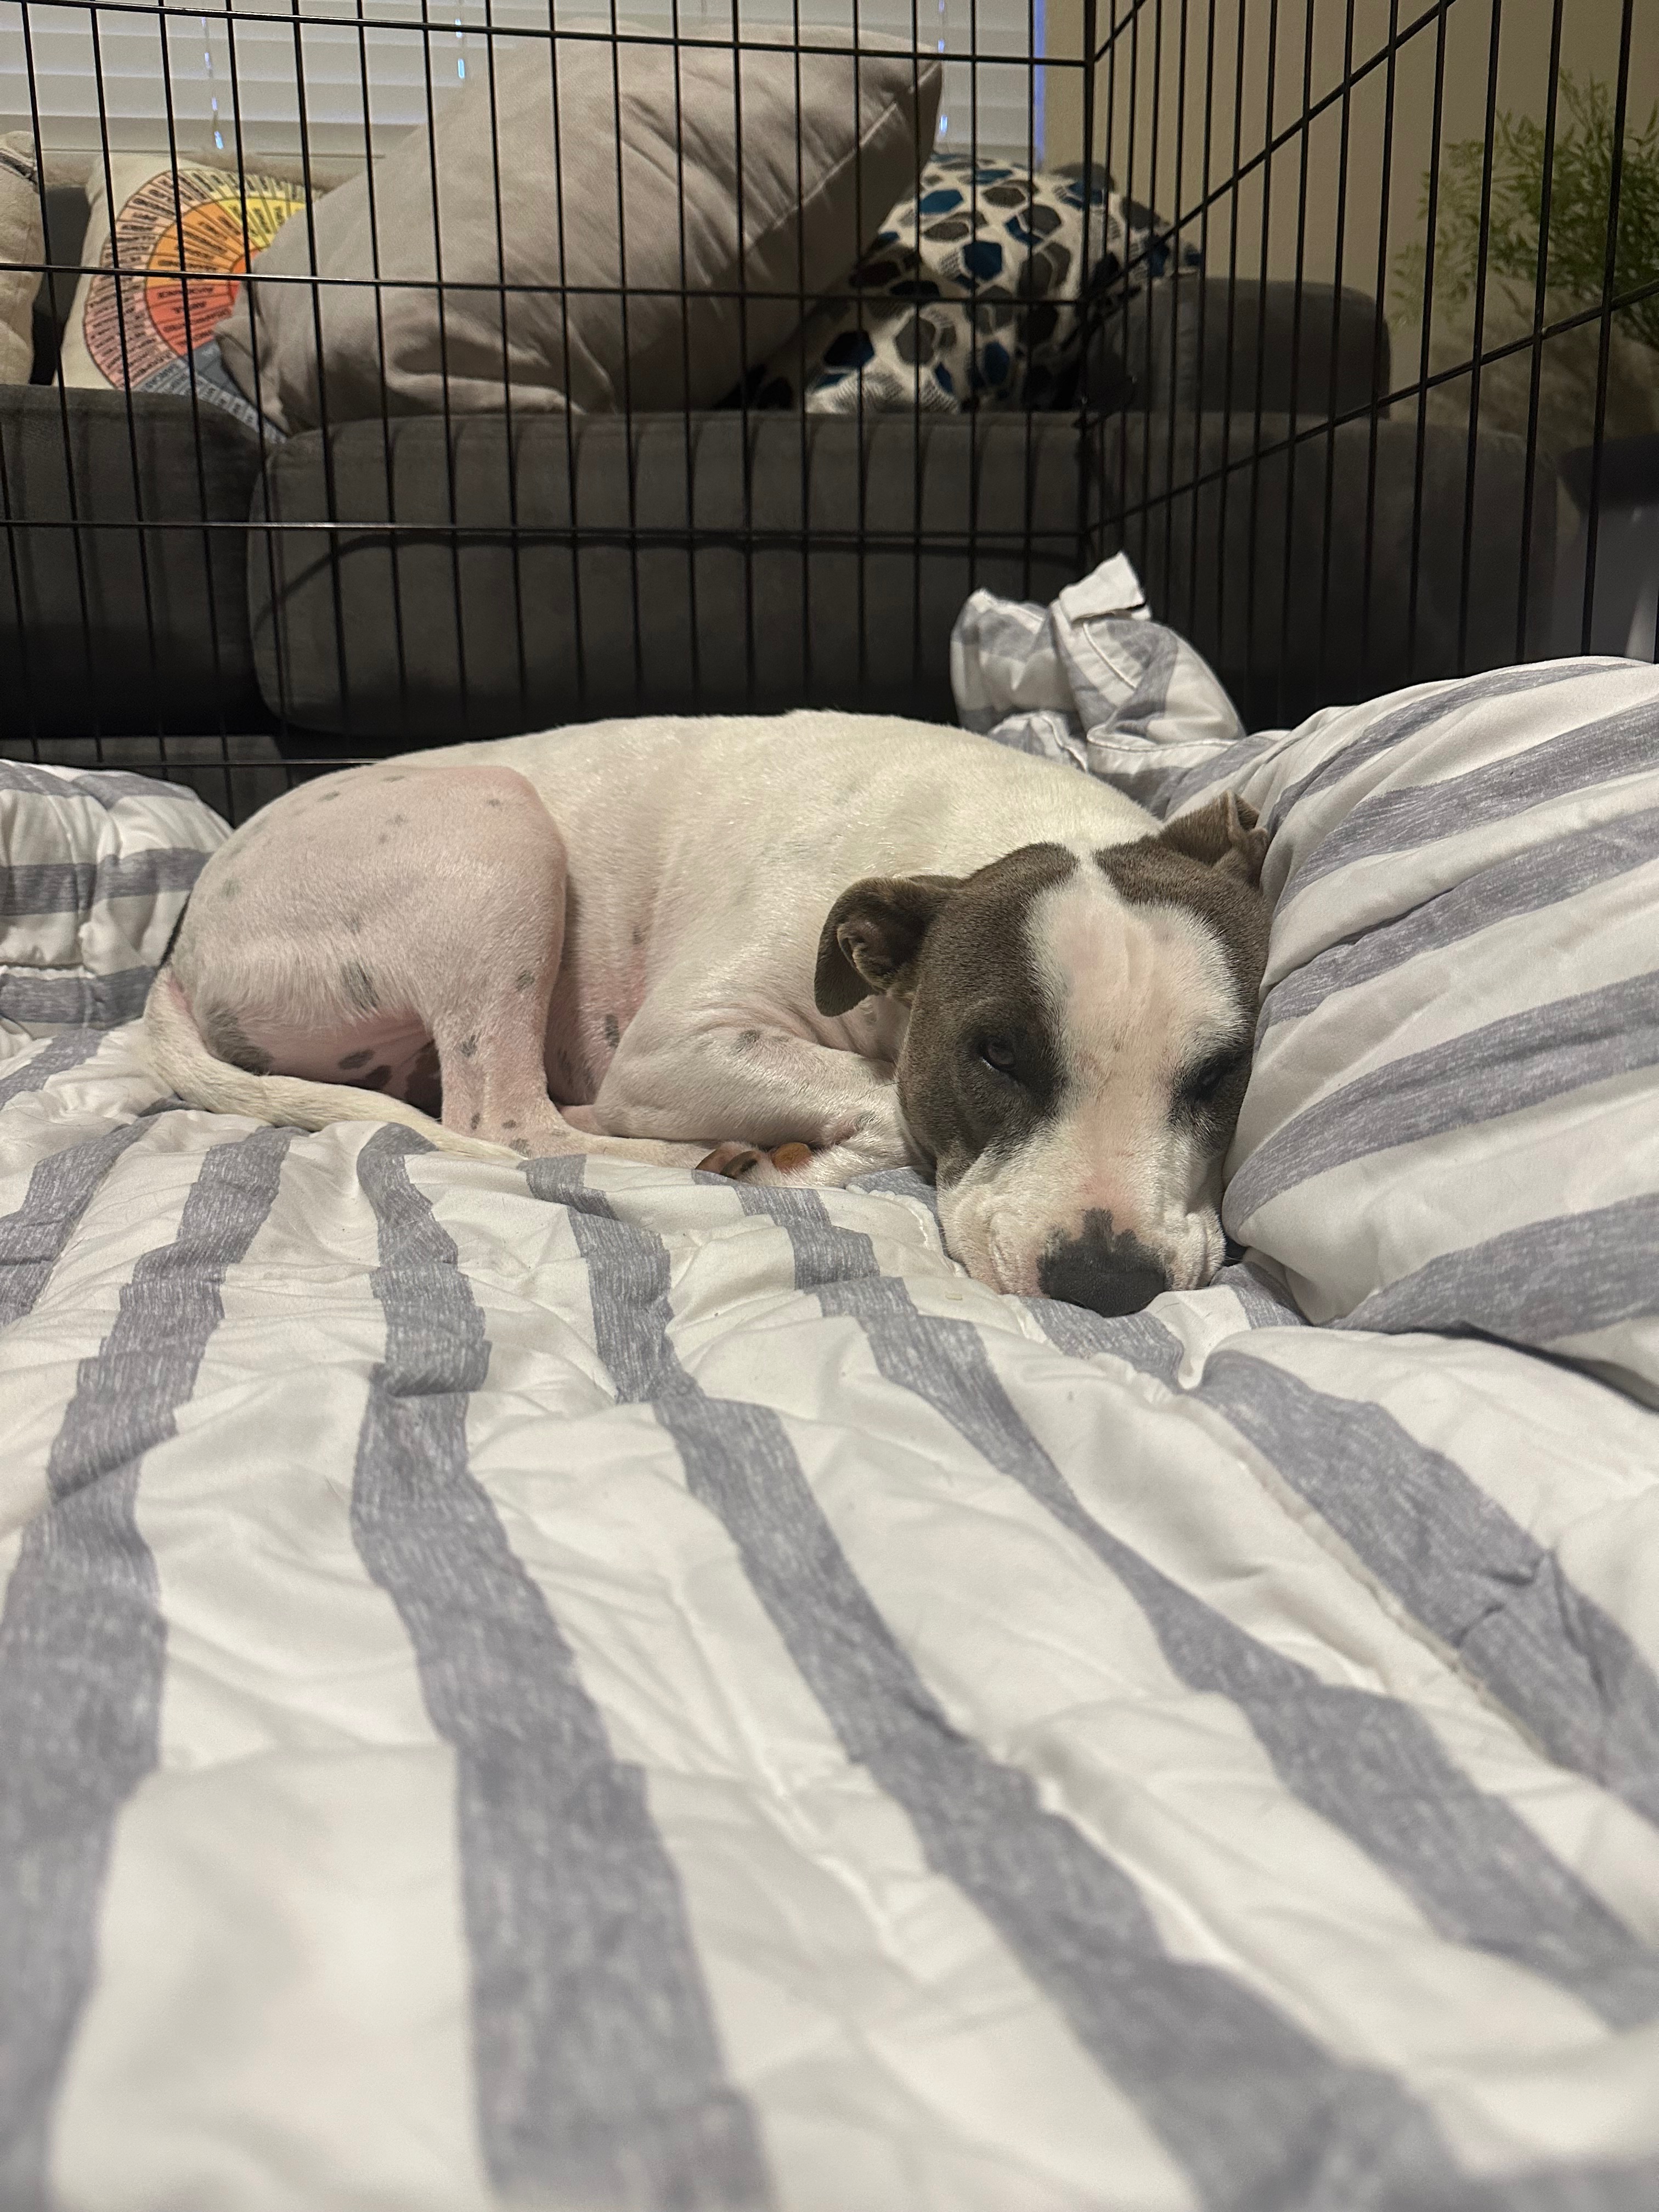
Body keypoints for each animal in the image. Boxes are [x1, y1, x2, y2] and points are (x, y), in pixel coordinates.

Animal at [144, 710, 1271, 1317]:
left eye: (1222, 1075)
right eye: (993, 1053)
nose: (1106, 1280)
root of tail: (190, 937)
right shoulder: (674, 1044)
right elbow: (882, 1104)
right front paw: (797, 1161)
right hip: (493, 830)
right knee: (503, 1119)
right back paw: (689, 1153)